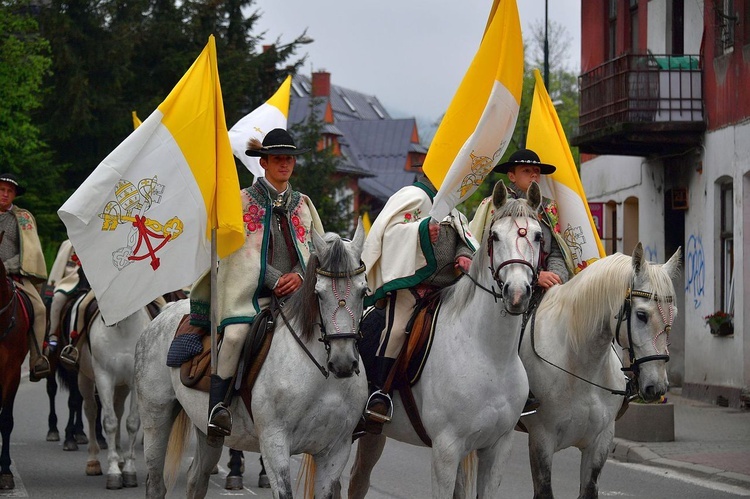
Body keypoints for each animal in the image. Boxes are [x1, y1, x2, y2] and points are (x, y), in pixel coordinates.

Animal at [78, 306, 153, 490]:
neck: (123, 329)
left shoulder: (134, 379)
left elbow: (132, 423)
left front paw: (128, 470)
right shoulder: (103, 377)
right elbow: (110, 423)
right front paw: (113, 472)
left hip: (121, 386)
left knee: (118, 409)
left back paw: (120, 458)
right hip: (85, 378)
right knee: (91, 411)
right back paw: (93, 462)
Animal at [137, 228, 372, 499]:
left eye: (363, 291)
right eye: (318, 293)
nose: (343, 362)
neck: (322, 380)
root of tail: (165, 311)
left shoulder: (336, 451)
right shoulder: (274, 443)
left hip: (206, 430)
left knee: (196, 479)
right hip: (156, 417)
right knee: (156, 484)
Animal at [350, 183, 544, 499]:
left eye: (538, 236)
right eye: (495, 235)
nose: (516, 294)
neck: (490, 356)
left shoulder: (497, 447)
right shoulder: (446, 450)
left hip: (372, 434)